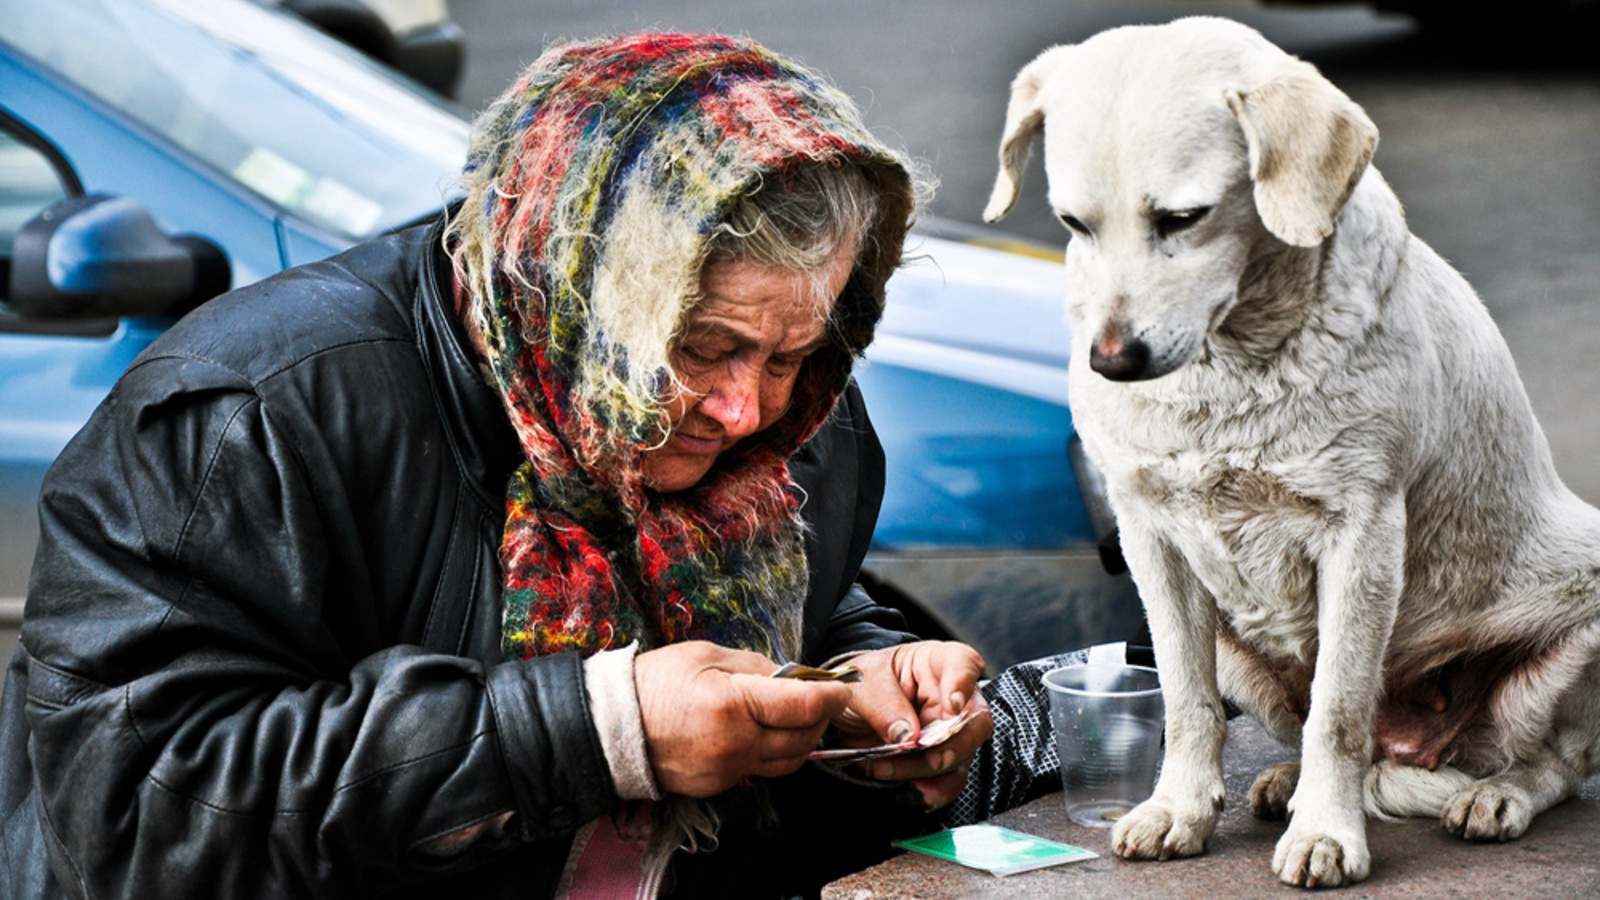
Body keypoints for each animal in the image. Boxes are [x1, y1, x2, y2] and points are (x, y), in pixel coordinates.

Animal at [979, 17, 1600, 883]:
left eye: (1182, 218)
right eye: (1074, 224)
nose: (1112, 360)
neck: (1228, 372)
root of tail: (1421, 747)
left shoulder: (1362, 534)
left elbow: (1338, 711)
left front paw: (1326, 834)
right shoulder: (1149, 538)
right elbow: (1186, 699)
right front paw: (1180, 809)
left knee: (1554, 765)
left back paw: (1495, 795)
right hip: (1238, 648)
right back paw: (1284, 780)